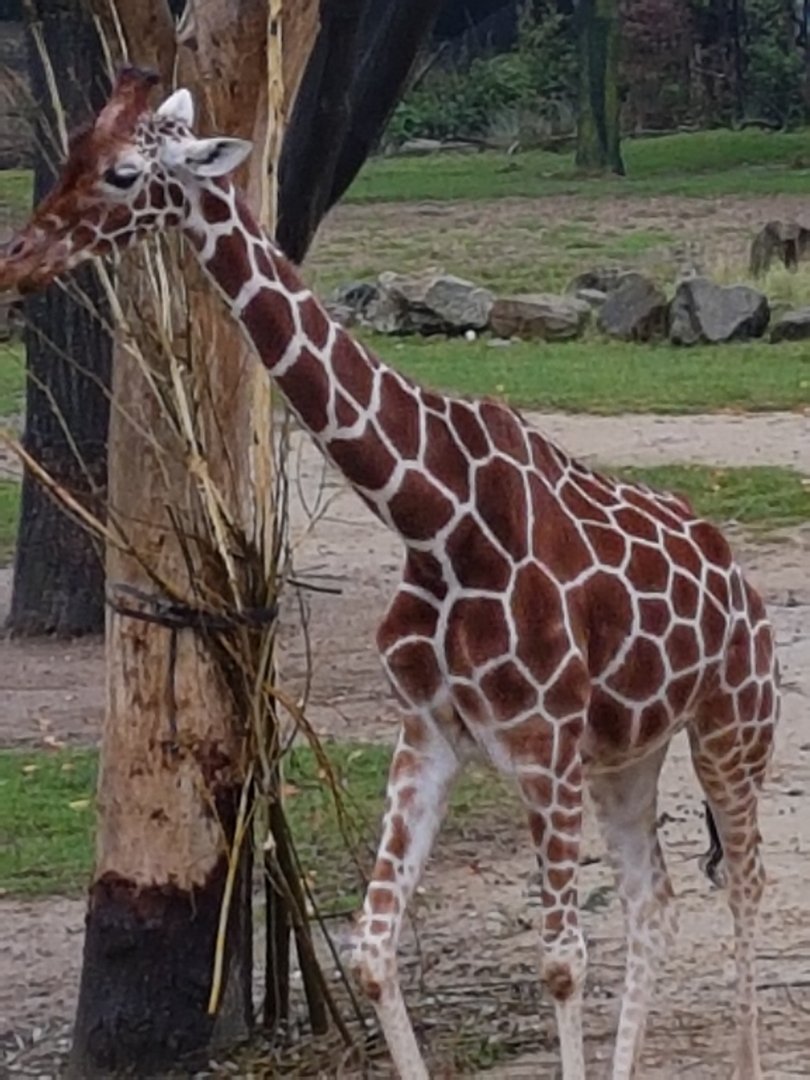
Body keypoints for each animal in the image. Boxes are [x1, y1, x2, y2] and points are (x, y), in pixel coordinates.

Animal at [0, 68, 778, 1080]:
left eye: (125, 173)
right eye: (70, 152)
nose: (17, 262)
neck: (434, 518)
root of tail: (744, 584)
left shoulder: (543, 744)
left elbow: (561, 962)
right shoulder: (431, 734)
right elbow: (372, 949)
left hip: (732, 728)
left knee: (747, 887)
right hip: (629, 751)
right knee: (656, 901)